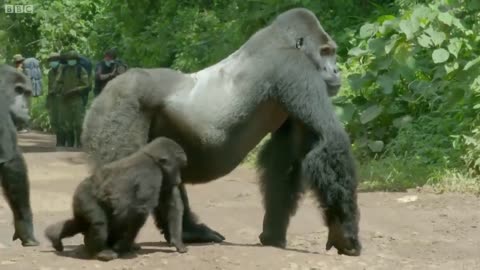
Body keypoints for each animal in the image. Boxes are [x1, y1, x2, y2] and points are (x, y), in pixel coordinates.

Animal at [45, 137, 188, 260]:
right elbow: (139, 211)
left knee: (80, 222)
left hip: (79, 201)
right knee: (99, 223)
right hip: (83, 196)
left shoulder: (164, 178)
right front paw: (124, 245)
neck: (153, 160)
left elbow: (171, 205)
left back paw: (55, 235)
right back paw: (101, 251)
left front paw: (177, 241)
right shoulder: (151, 175)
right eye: (178, 167)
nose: (179, 179)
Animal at [81, 6, 360, 255]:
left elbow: (284, 160)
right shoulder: (295, 68)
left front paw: (272, 234)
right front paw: (345, 232)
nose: (336, 70)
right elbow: (329, 140)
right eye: (325, 52)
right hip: (121, 104)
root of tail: (103, 94)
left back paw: (189, 232)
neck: (283, 40)